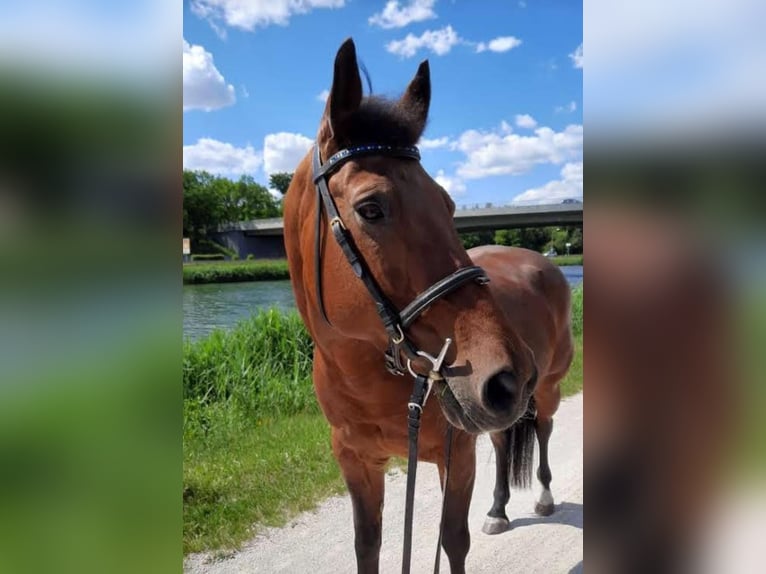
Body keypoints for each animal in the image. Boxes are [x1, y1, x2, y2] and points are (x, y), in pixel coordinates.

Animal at [284, 38, 572, 572]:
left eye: (448, 204)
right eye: (370, 208)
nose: (507, 375)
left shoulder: (455, 456)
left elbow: (452, 541)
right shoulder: (357, 462)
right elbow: (368, 545)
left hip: (546, 389)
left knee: (541, 428)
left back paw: (542, 497)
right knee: (503, 439)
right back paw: (498, 509)